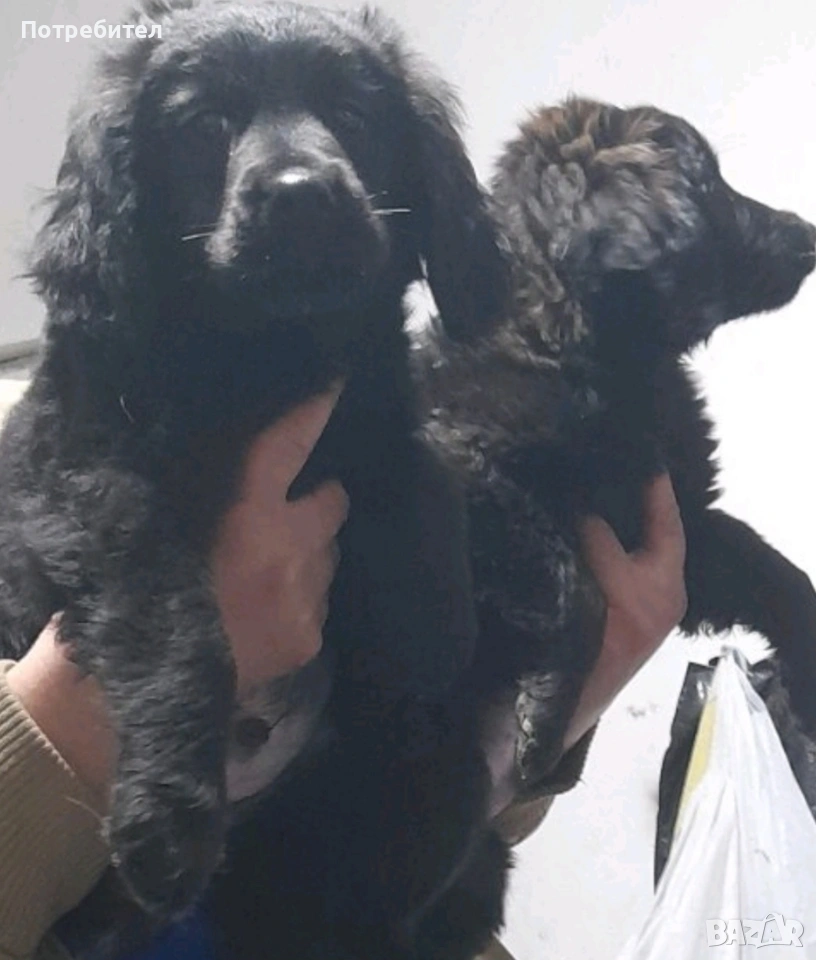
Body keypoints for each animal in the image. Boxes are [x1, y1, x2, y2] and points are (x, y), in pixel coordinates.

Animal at [0, 0, 508, 944]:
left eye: (352, 115)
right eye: (205, 125)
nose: (301, 194)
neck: (271, 353)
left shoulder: (373, 404)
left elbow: (420, 475)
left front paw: (428, 628)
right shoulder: (89, 482)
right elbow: (175, 625)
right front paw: (168, 816)